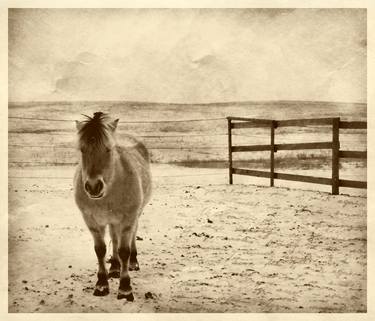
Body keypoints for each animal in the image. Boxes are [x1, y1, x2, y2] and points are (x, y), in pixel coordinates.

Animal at [73, 111, 151, 298]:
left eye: (108, 149)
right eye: (82, 149)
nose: (94, 186)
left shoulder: (128, 218)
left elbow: (124, 250)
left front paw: (125, 287)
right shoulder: (92, 220)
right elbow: (100, 249)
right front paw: (101, 284)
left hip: (134, 216)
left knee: (130, 237)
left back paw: (133, 262)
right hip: (111, 220)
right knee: (114, 238)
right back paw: (114, 267)